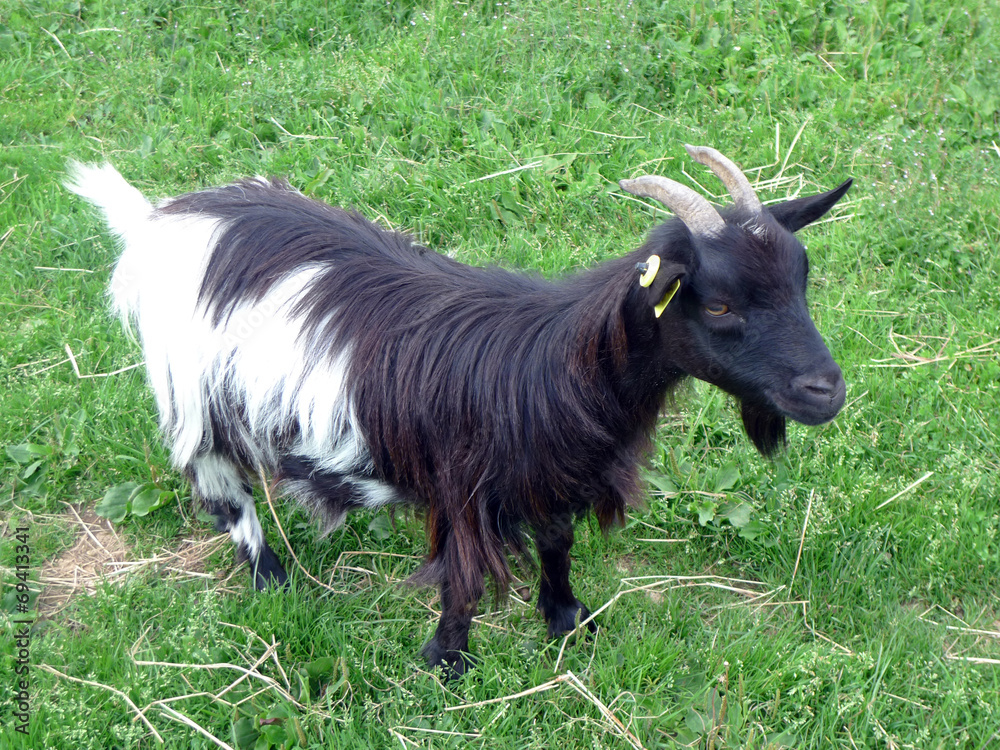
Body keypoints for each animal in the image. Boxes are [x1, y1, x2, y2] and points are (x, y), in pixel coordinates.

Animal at [67, 146, 850, 678]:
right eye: (717, 305)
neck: (550, 365)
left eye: (802, 278)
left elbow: (557, 543)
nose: (828, 390)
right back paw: (271, 579)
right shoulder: (463, 486)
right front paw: (446, 663)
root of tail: (158, 220)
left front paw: (567, 622)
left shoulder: (551, 472)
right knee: (221, 487)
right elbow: (462, 579)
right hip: (192, 392)